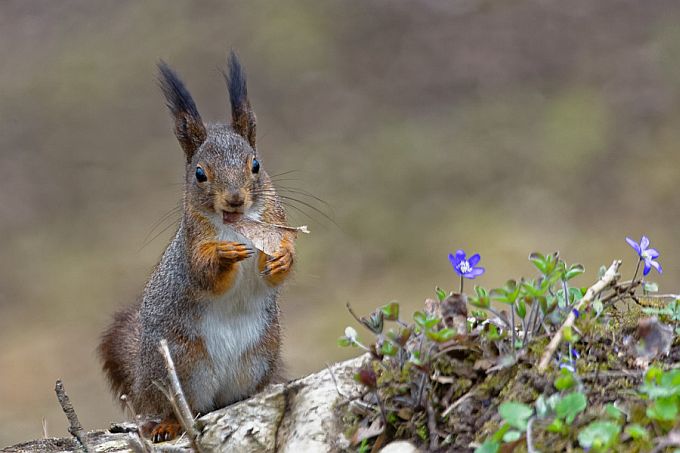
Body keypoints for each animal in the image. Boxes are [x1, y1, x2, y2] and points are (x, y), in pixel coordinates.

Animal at [98, 53, 294, 442]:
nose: (234, 199)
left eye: (255, 165)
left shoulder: (275, 222)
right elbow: (204, 275)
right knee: (178, 407)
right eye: (200, 174)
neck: (238, 225)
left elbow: (281, 260)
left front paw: (283, 259)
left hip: (261, 354)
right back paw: (167, 424)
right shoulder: (190, 247)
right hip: (181, 365)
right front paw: (224, 256)